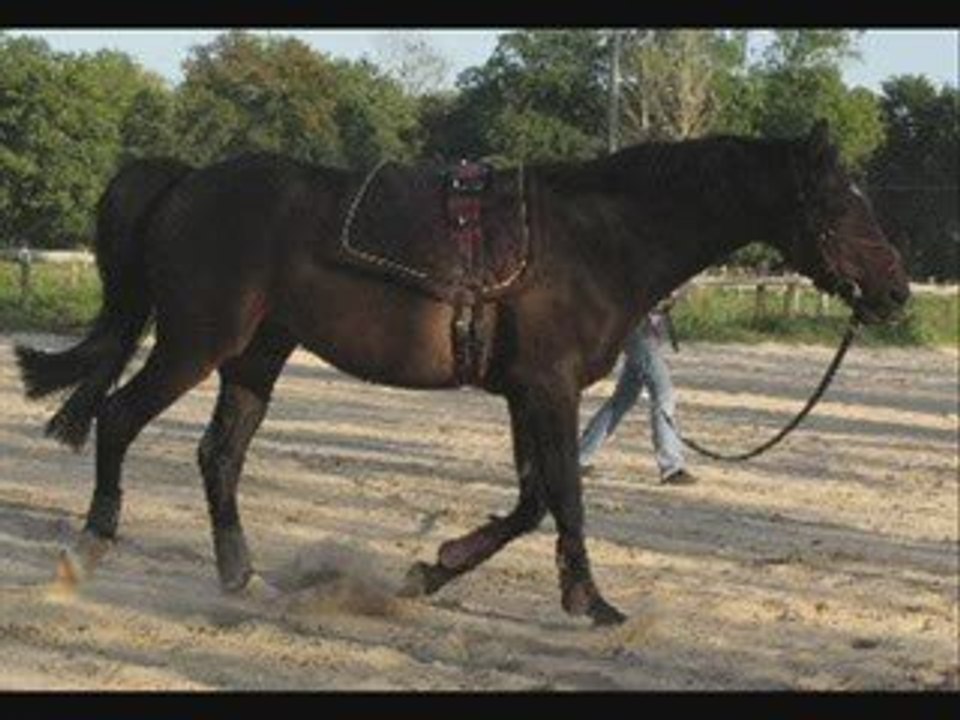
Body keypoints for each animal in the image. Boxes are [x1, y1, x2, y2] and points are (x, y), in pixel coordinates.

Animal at [15, 120, 909, 626]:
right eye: (840, 206)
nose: (896, 291)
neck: (596, 237)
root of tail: (187, 181)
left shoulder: (528, 393)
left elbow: (532, 500)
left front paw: (432, 570)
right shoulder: (548, 389)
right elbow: (564, 497)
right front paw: (592, 603)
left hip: (256, 356)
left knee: (219, 456)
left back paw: (243, 578)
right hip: (195, 343)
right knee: (120, 418)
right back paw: (88, 550)